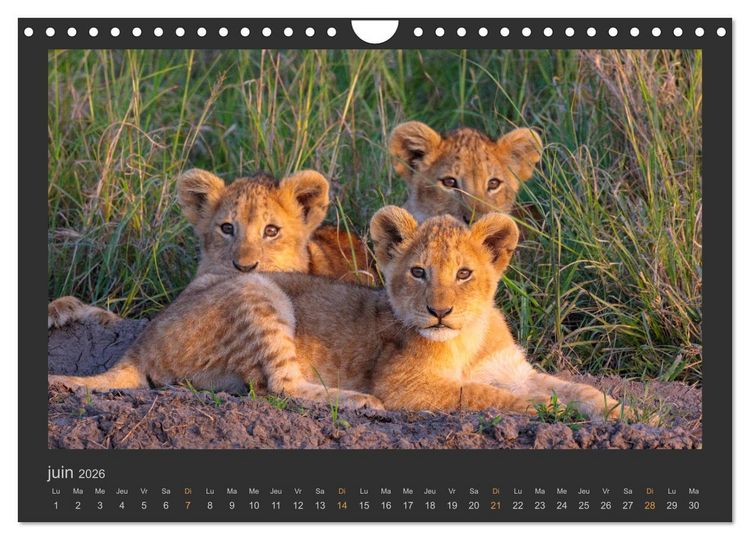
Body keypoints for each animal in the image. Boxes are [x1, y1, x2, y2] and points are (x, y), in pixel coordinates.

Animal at [49, 206, 635, 422]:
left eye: (465, 273)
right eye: (418, 272)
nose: (439, 312)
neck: (466, 338)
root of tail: (139, 342)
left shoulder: (513, 369)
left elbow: (576, 388)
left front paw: (627, 413)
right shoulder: (407, 387)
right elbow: (481, 396)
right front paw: (544, 413)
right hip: (258, 290)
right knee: (279, 387)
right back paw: (359, 402)